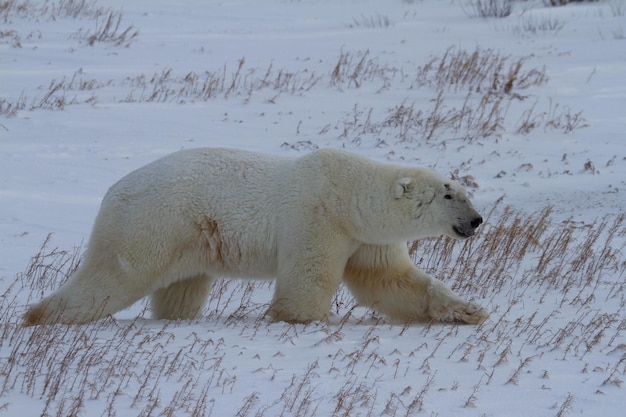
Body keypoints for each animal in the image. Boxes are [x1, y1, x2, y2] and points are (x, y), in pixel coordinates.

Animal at [24, 146, 486, 324]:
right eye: (449, 194)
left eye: (466, 192)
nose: (477, 220)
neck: (349, 194)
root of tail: (113, 191)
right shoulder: (317, 217)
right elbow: (308, 276)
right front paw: (302, 318)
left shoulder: (367, 239)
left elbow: (390, 282)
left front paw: (468, 311)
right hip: (151, 224)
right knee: (113, 277)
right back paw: (40, 315)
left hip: (187, 239)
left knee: (181, 289)